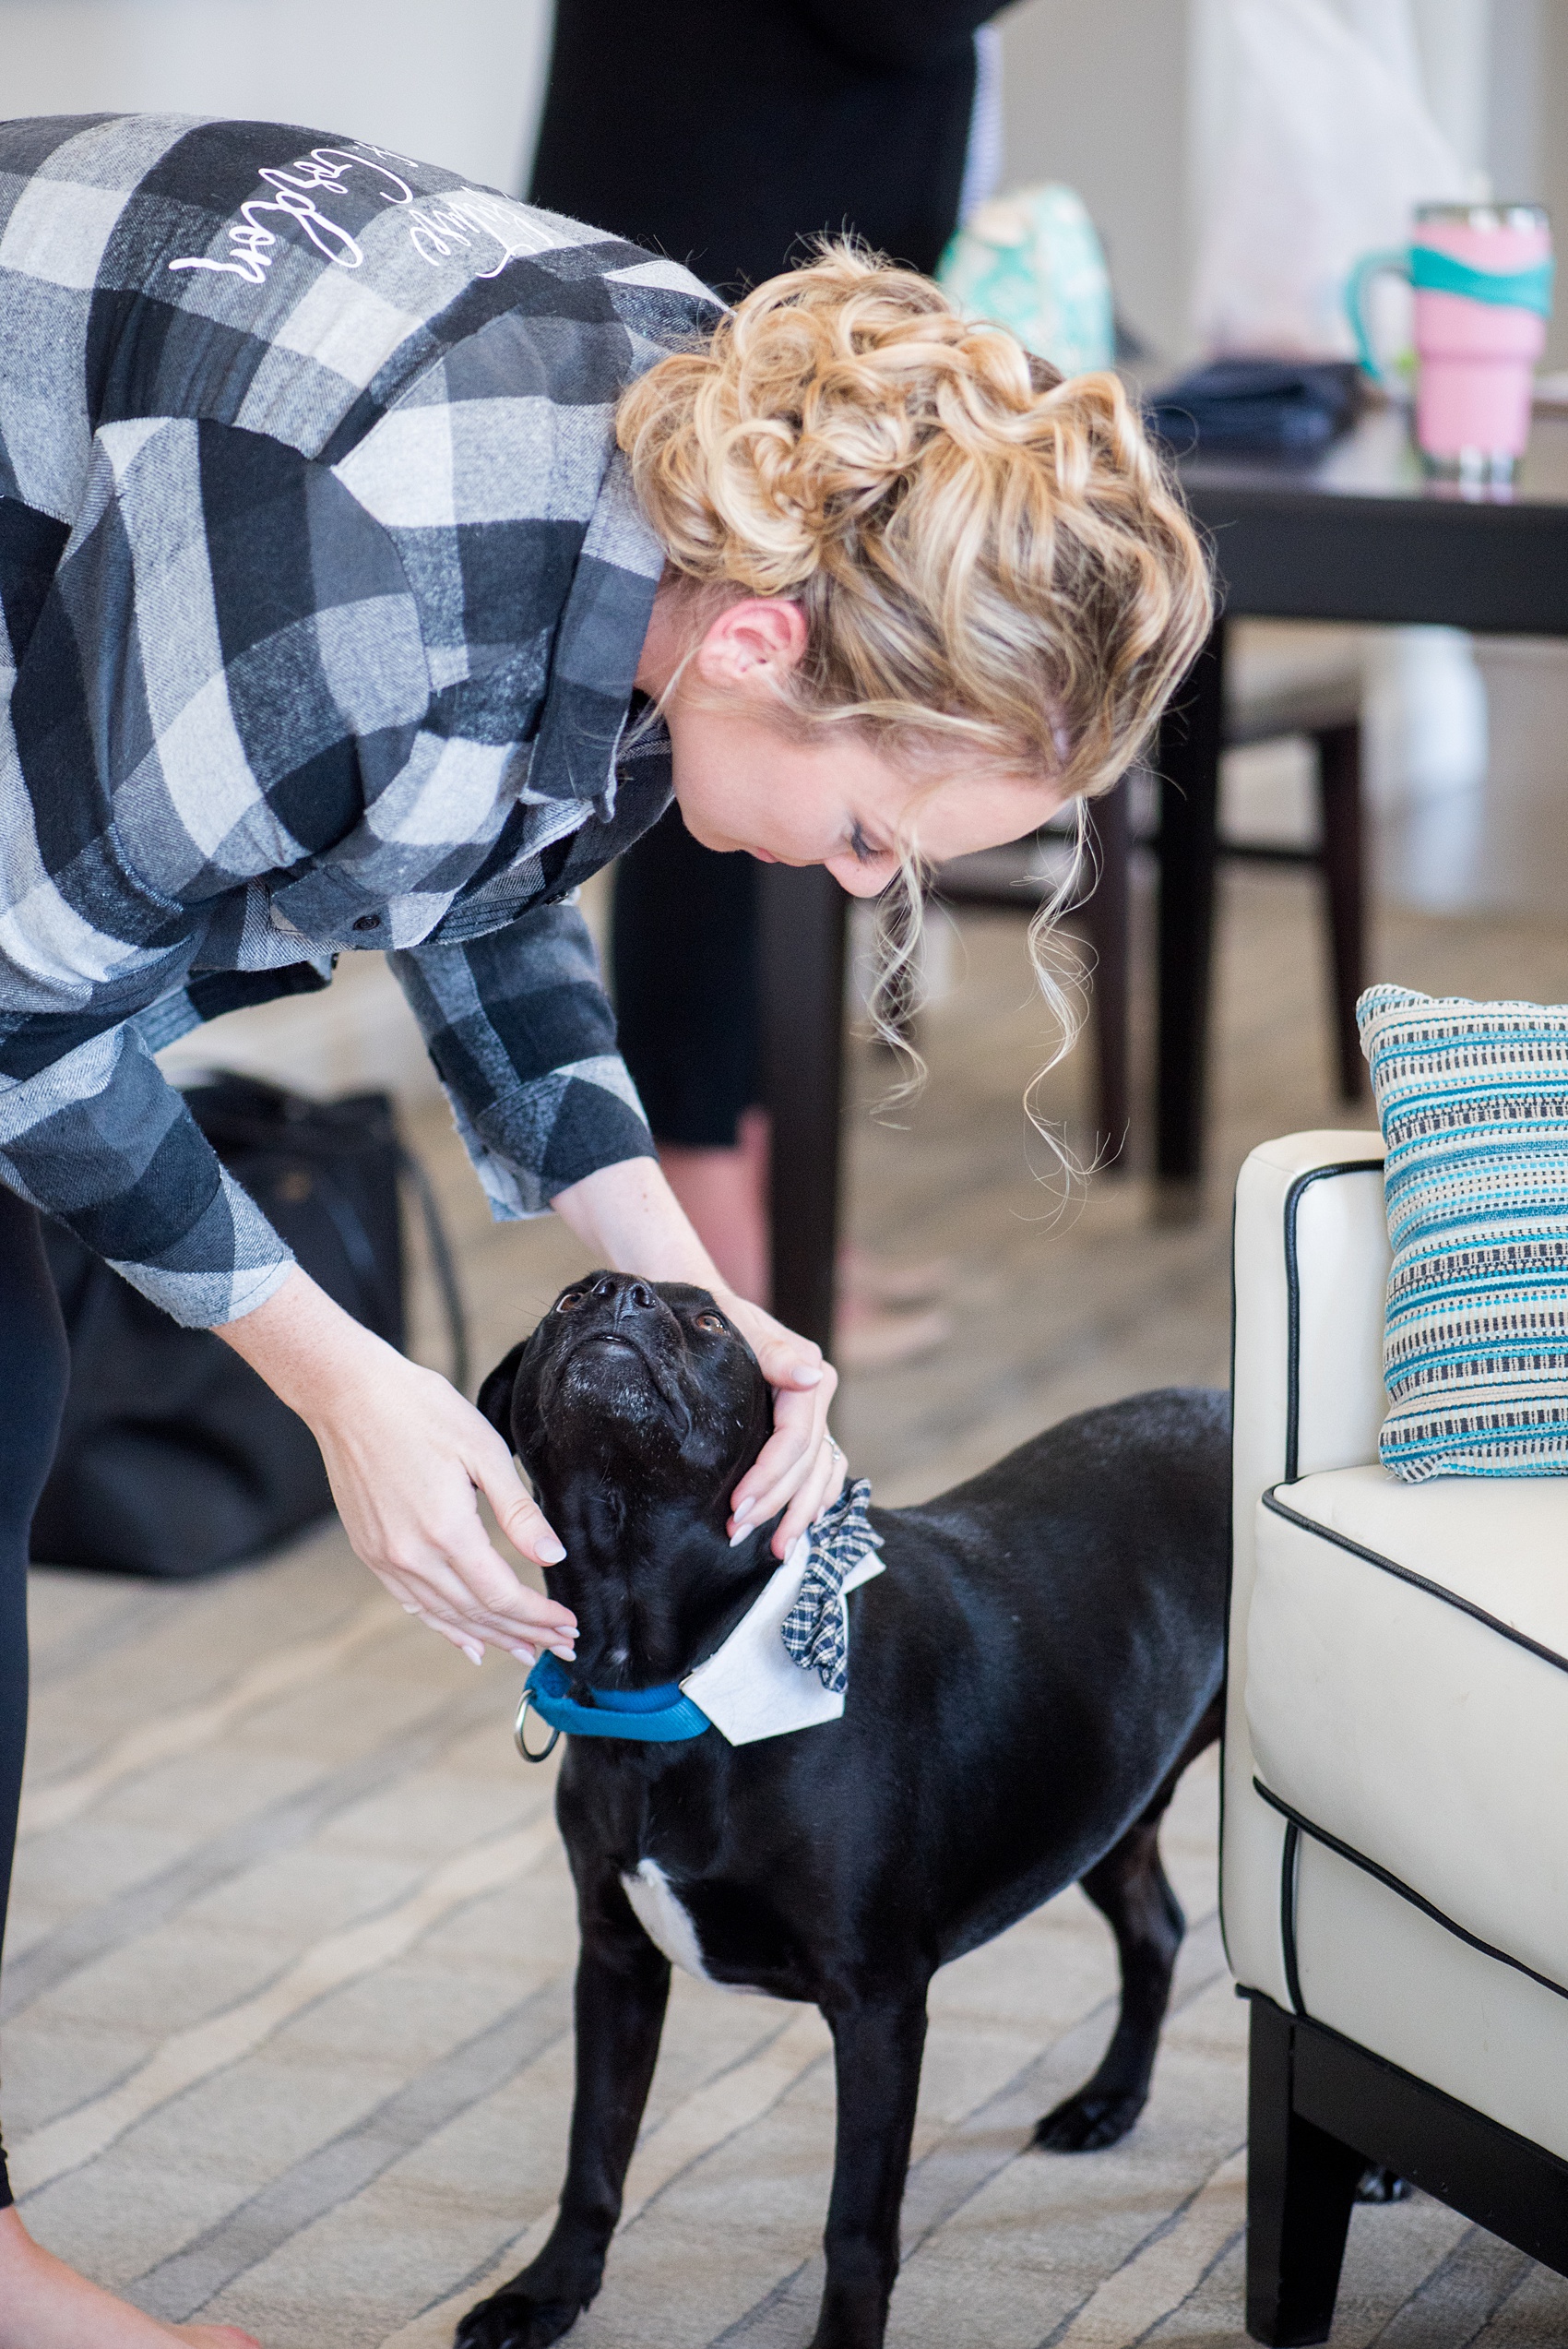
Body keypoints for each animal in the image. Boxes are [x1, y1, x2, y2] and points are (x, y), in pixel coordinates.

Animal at [459, 1278, 1229, 2349]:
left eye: (711, 1322)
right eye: (563, 1301)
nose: (616, 1290)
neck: (667, 1684)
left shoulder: (876, 2003)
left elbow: (855, 2223)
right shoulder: (614, 1960)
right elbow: (592, 2157)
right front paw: (546, 2293)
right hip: (1104, 1802)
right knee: (1156, 1929)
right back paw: (1108, 2101)